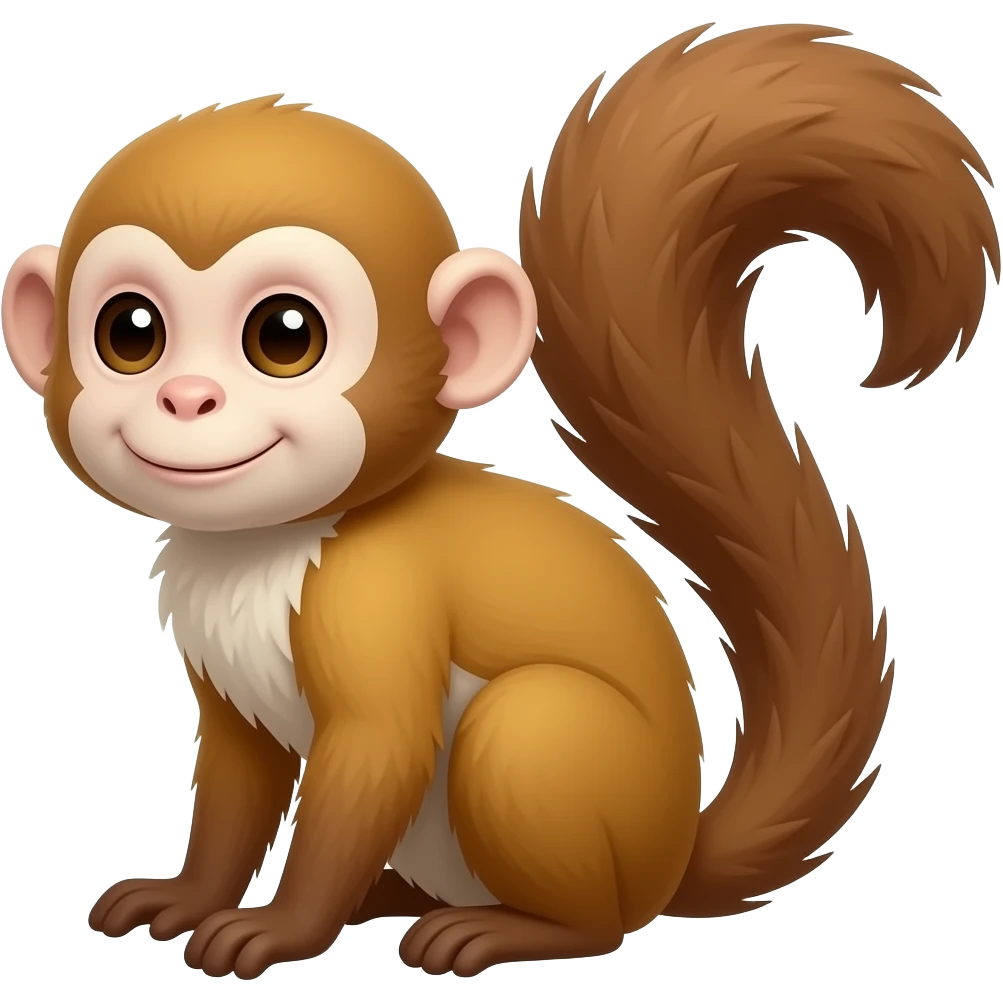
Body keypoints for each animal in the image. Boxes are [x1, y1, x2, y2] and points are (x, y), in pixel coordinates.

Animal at [2, 22, 997, 982]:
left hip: (543, 759)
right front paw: (188, 893)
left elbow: (374, 751)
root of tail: (675, 854)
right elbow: (236, 783)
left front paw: (279, 927)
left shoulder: (379, 592)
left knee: (575, 857)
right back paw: (386, 898)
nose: (188, 399)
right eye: (130, 332)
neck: (263, 546)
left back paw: (503, 928)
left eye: (285, 335)